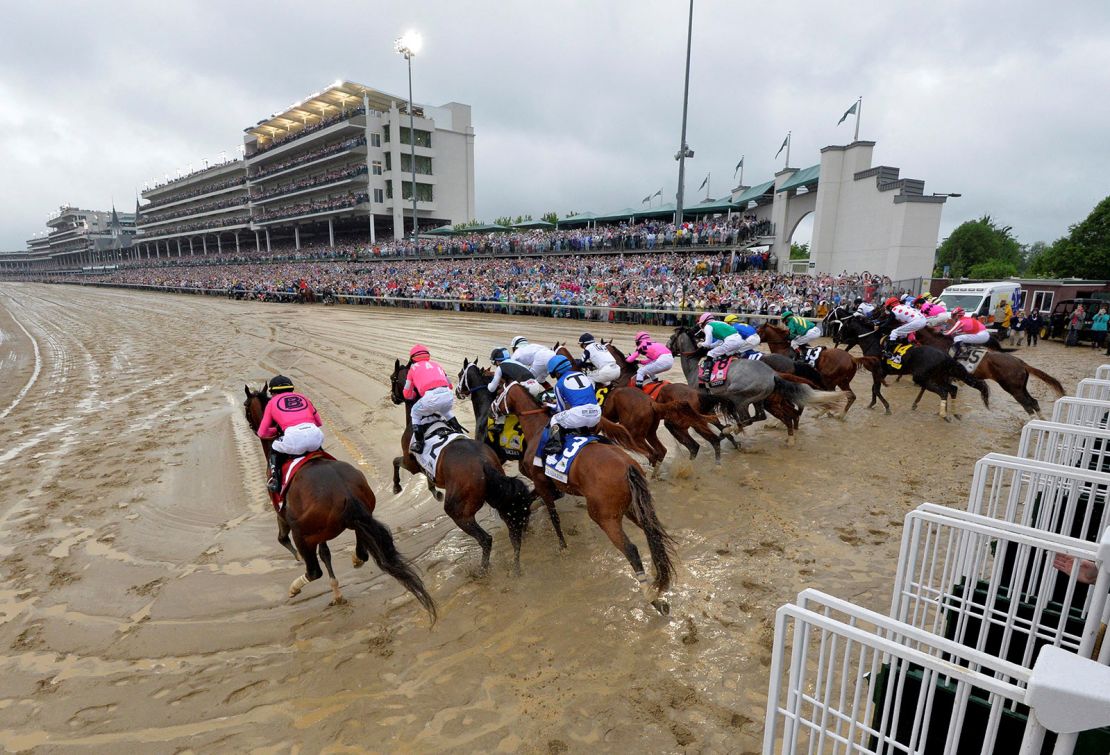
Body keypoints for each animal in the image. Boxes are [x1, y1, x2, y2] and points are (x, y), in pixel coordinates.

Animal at [243, 386, 437, 617]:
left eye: (246, 406)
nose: (252, 427)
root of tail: (347, 494)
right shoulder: (318, 532)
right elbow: (325, 553)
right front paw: (337, 593)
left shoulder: (281, 511)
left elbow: (283, 539)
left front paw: (298, 560)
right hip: (359, 514)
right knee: (361, 548)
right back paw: (355, 559)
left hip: (303, 532)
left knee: (314, 571)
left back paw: (294, 587)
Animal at [388, 361, 535, 572]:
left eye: (393, 378)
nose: (393, 397)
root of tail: (483, 464)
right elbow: (428, 475)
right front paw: (434, 490)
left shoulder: (410, 463)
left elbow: (396, 461)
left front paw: (396, 486)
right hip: (498, 493)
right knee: (512, 527)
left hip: (458, 511)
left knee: (486, 539)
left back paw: (482, 571)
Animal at [495, 384, 674, 612]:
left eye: (498, 393)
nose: (493, 409)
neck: (536, 429)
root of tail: (628, 468)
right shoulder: (551, 485)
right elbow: (534, 501)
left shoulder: (541, 482)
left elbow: (553, 516)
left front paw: (562, 545)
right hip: (633, 508)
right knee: (652, 533)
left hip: (604, 516)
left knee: (631, 550)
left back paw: (651, 597)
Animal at [754, 321, 883, 415]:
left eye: (758, 331)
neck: (783, 348)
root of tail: (852, 358)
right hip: (843, 381)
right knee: (850, 396)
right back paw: (840, 415)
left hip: (830, 381)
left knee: (834, 396)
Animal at [910, 326, 1065, 415]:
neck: (937, 343)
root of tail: (1021, 363)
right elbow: (926, 388)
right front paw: (915, 403)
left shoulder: (938, 374)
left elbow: (927, 387)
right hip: (1021, 387)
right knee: (1034, 402)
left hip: (1012, 388)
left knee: (1028, 405)